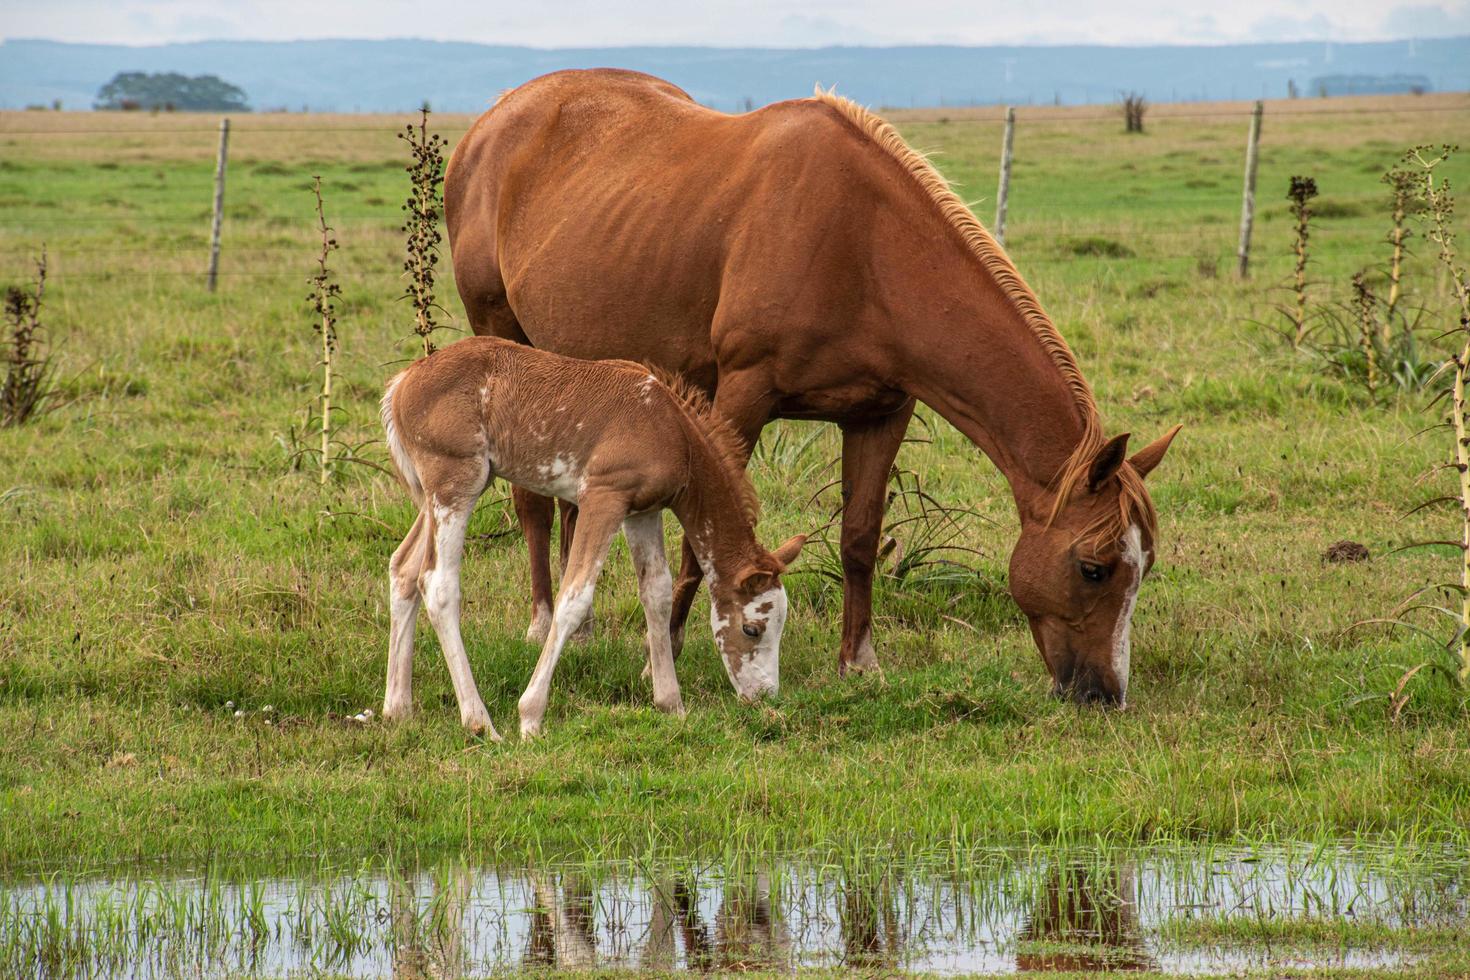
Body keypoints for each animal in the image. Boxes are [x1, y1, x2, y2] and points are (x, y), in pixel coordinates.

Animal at [379, 340, 811, 740]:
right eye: (752, 629)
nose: (765, 696)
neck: (672, 429)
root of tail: (401, 384)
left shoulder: (643, 512)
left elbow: (656, 593)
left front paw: (671, 704)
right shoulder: (604, 497)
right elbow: (575, 596)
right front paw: (530, 717)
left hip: (453, 488)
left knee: (403, 568)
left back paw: (398, 709)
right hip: (456, 481)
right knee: (437, 583)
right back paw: (480, 722)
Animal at [441, 70, 1176, 714]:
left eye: (1144, 567)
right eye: (1094, 568)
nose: (1104, 695)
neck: (865, 246)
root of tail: (495, 118)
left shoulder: (882, 413)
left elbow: (859, 538)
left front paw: (859, 663)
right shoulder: (740, 399)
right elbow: (699, 542)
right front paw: (667, 653)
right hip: (502, 334)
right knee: (533, 505)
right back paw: (543, 622)